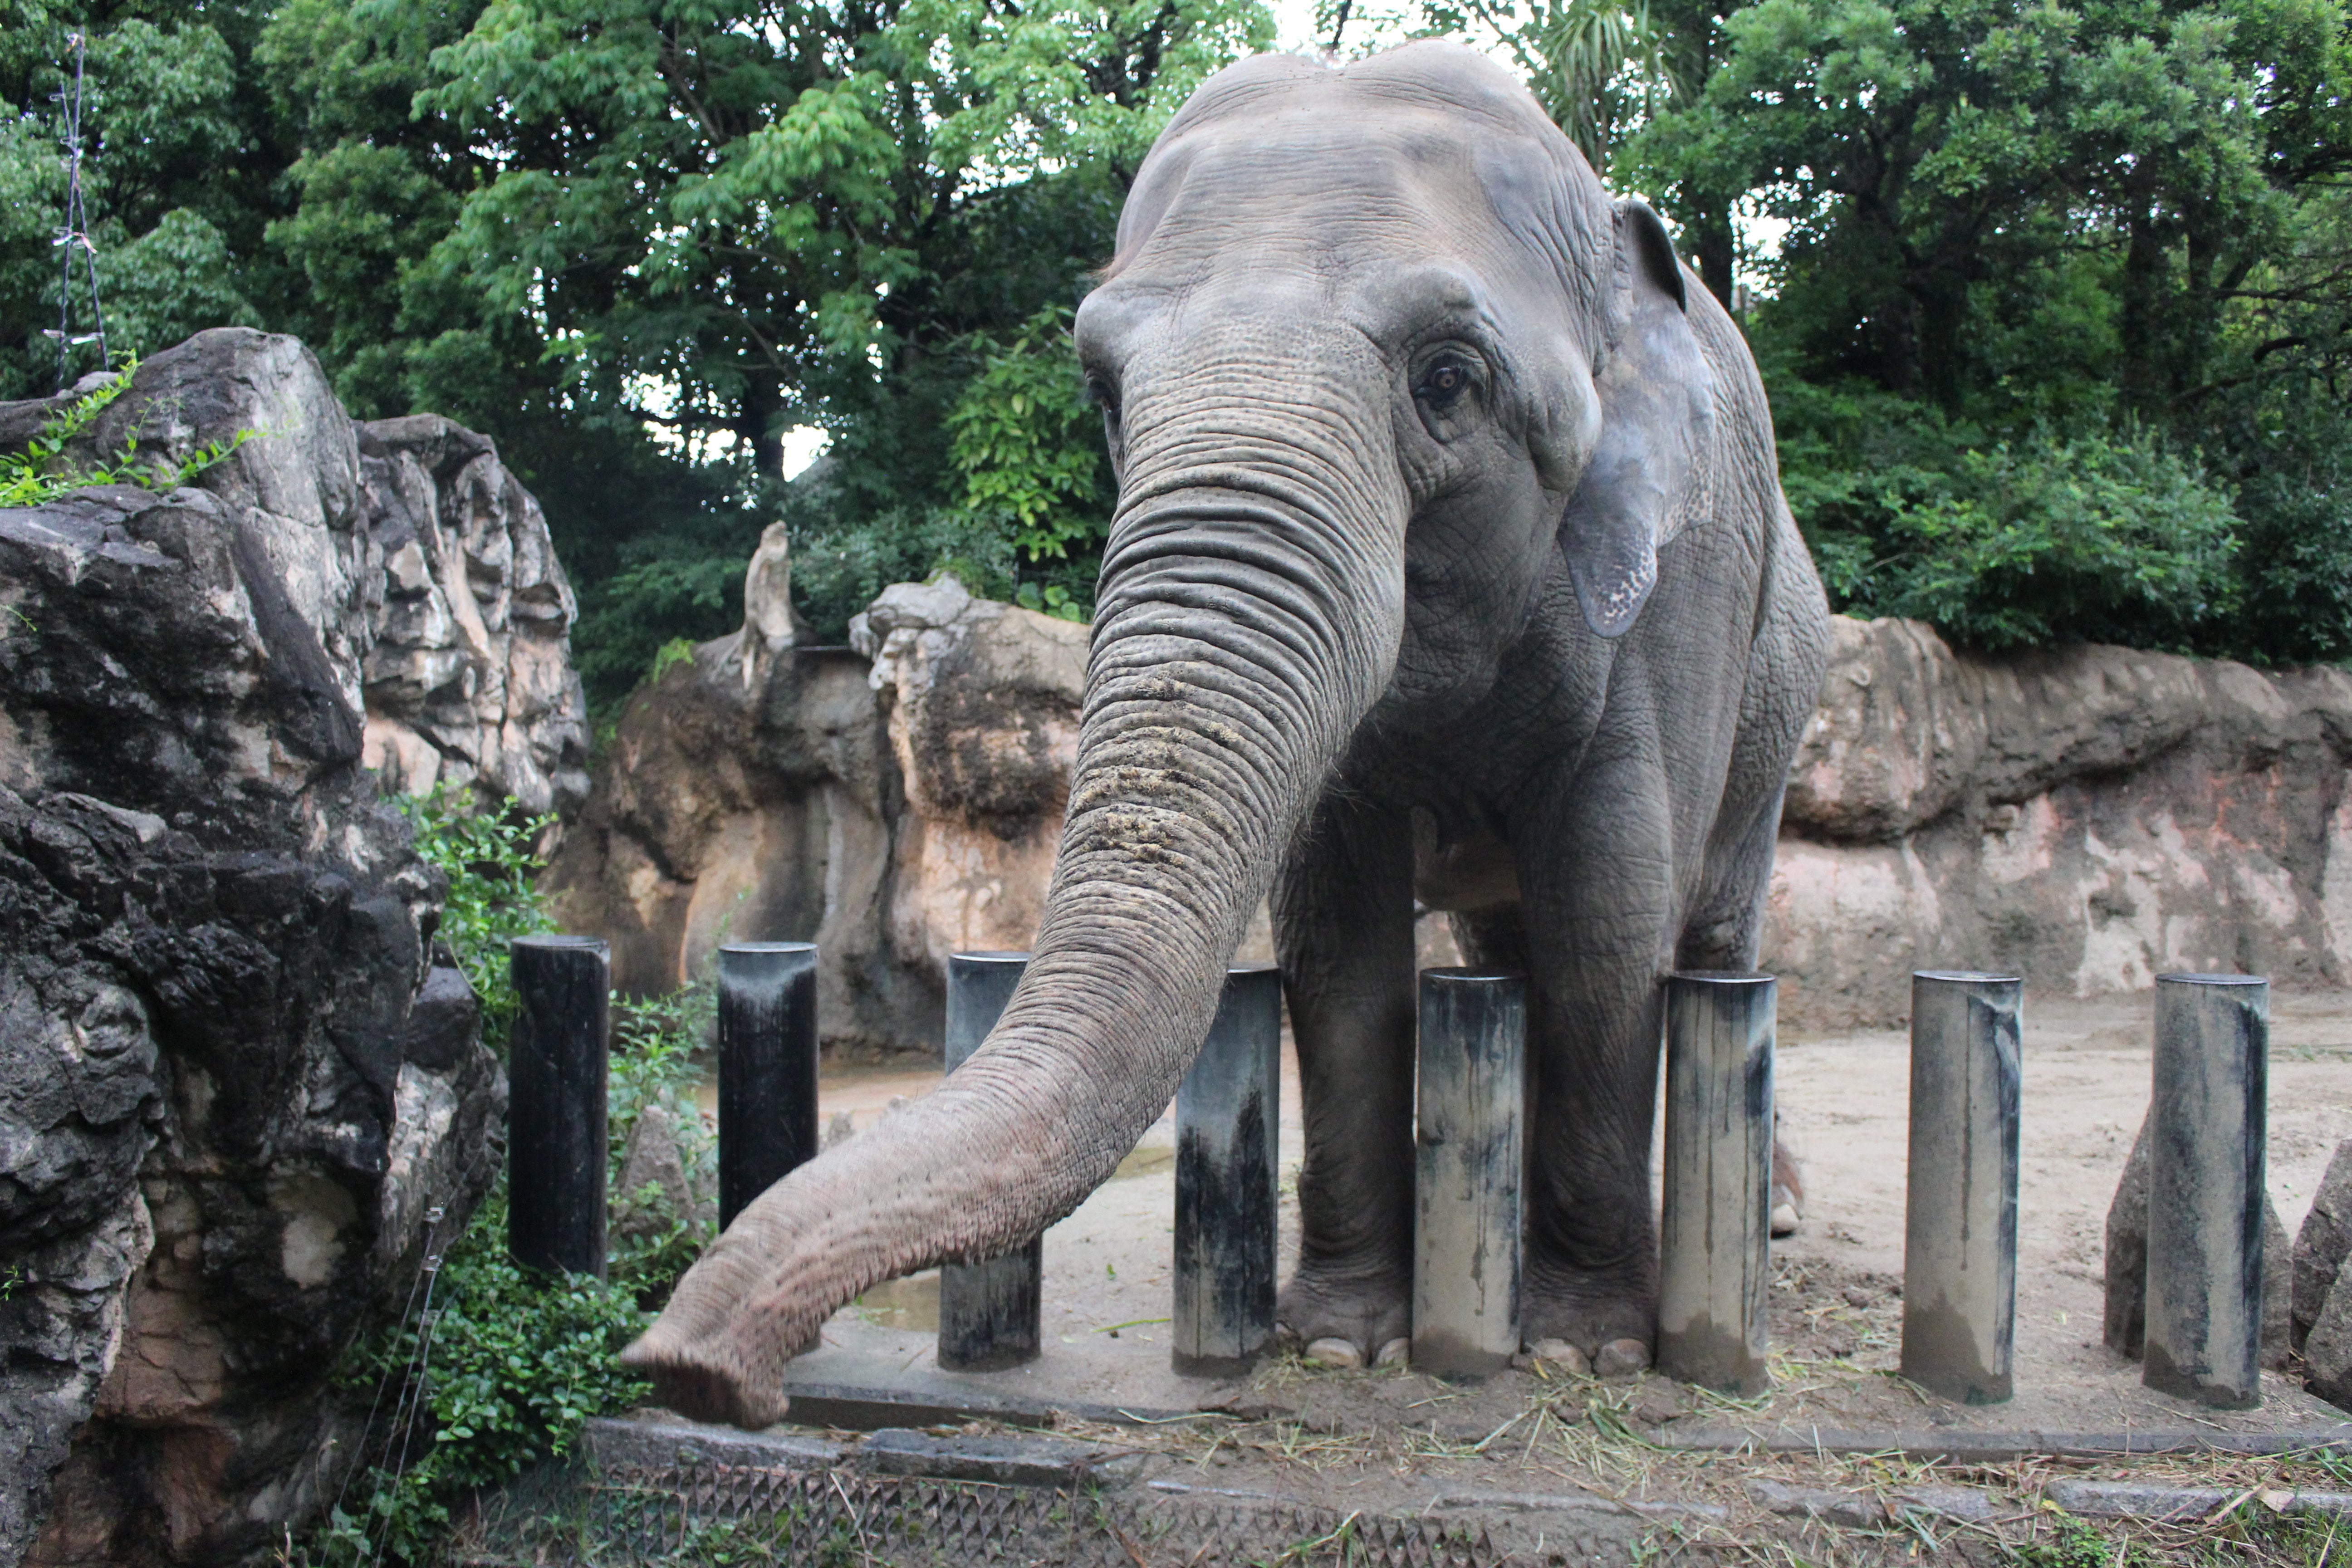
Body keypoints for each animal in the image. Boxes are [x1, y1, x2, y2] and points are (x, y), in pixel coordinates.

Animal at [625, 36, 1834, 1420]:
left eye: (1449, 381)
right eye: (1102, 389)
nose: (694, 1372)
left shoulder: (1681, 582)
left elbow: (1611, 900)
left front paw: (1587, 1351)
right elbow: (1338, 937)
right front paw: (1341, 1343)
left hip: (1778, 688)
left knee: (1707, 929)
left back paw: (1764, 1213)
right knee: (1506, 937)